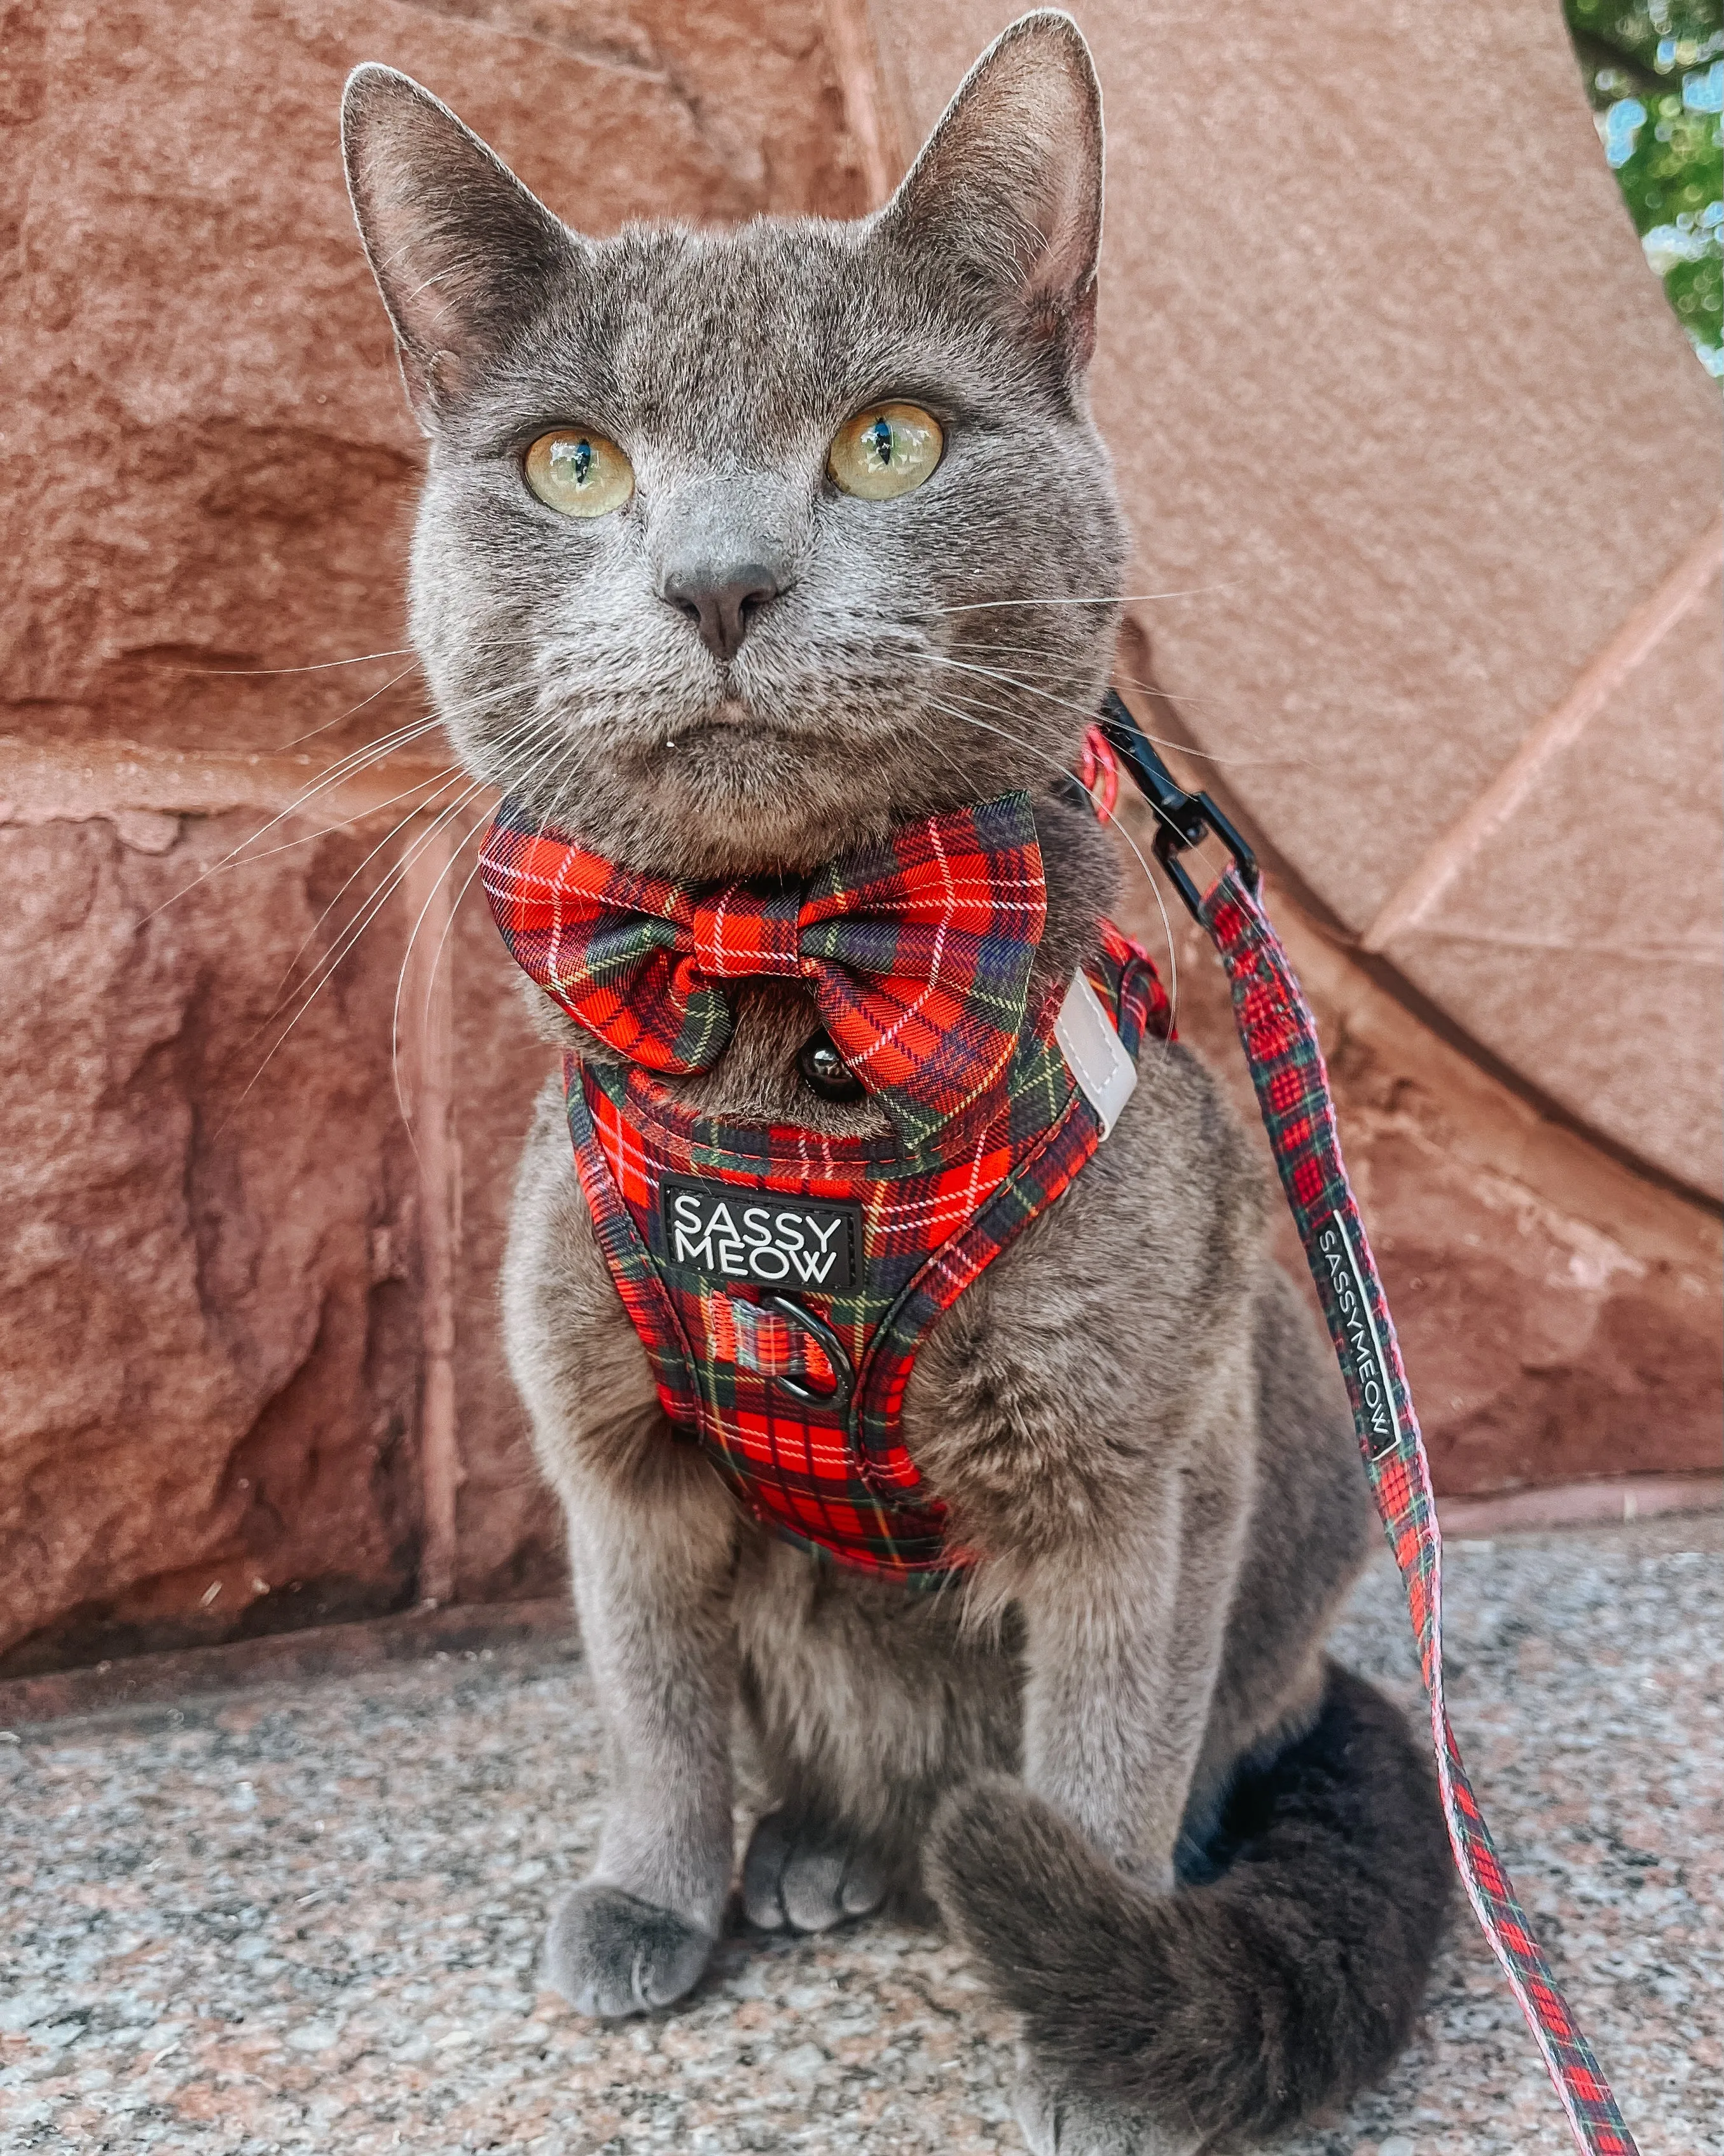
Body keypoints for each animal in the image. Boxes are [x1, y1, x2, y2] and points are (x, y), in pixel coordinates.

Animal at [340, 12, 1456, 2138]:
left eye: (889, 440)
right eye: (573, 461)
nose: (719, 582)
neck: (790, 991)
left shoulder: (1134, 1468)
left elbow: (1100, 1761)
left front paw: (1098, 2037)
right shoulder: (609, 1446)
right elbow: (656, 1709)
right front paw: (651, 1900)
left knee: (1162, 1763)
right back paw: (808, 1854)